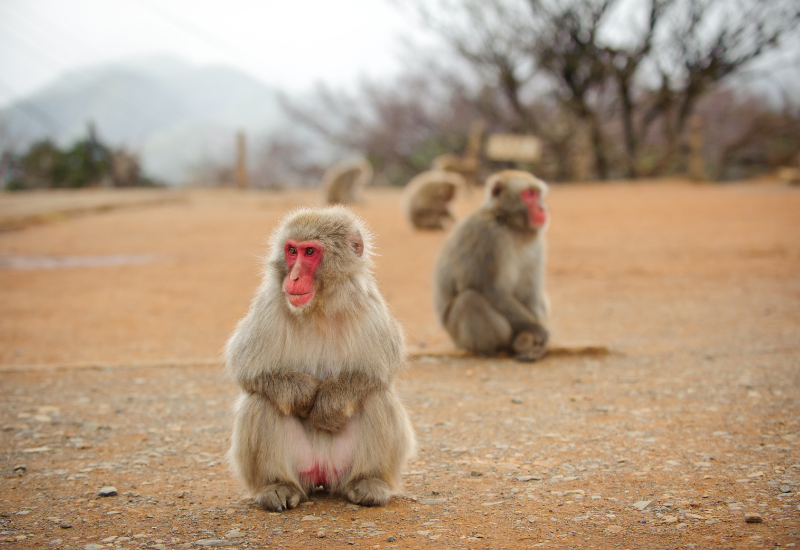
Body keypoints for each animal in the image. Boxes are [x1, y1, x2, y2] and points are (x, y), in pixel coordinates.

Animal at [225, 206, 415, 512]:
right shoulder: (270, 305)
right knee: (261, 400)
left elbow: (378, 371)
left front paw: (329, 403)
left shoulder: (368, 307)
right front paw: (304, 394)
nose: (293, 278)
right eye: (292, 250)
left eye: (310, 252)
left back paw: (369, 481)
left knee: (376, 396)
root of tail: (323, 474)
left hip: (343, 466)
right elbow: (246, 369)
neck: (319, 307)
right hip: (301, 465)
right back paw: (277, 485)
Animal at [432, 169, 550, 361]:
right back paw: (498, 348)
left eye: (538, 194)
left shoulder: (537, 245)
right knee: (469, 299)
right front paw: (536, 329)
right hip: (458, 337)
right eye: (529, 194)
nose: (542, 208)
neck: (510, 225)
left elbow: (530, 293)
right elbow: (488, 289)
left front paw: (538, 341)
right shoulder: (486, 234)